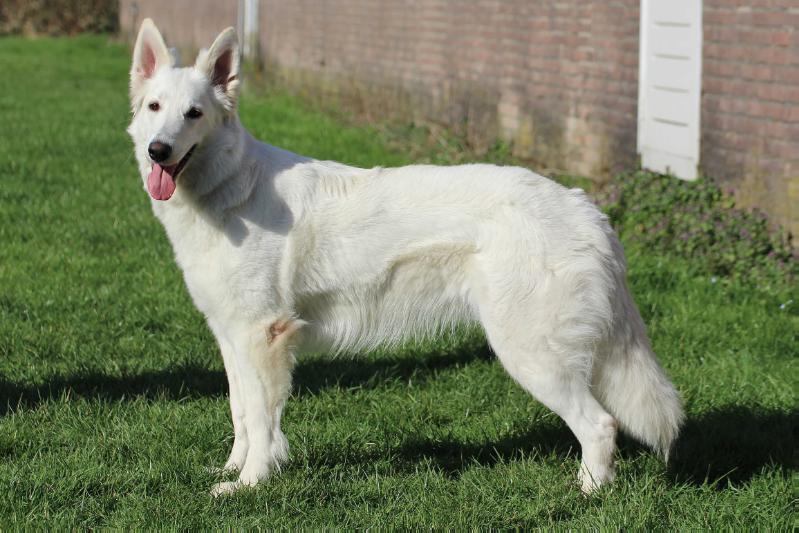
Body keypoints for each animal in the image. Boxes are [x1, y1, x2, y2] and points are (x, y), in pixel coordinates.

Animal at [128, 19, 684, 494]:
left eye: (194, 114)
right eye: (155, 107)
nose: (158, 151)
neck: (228, 190)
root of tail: (586, 207)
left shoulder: (263, 339)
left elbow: (264, 423)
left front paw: (250, 485)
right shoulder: (232, 339)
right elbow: (241, 414)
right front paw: (231, 471)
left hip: (531, 355)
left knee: (601, 425)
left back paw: (587, 495)